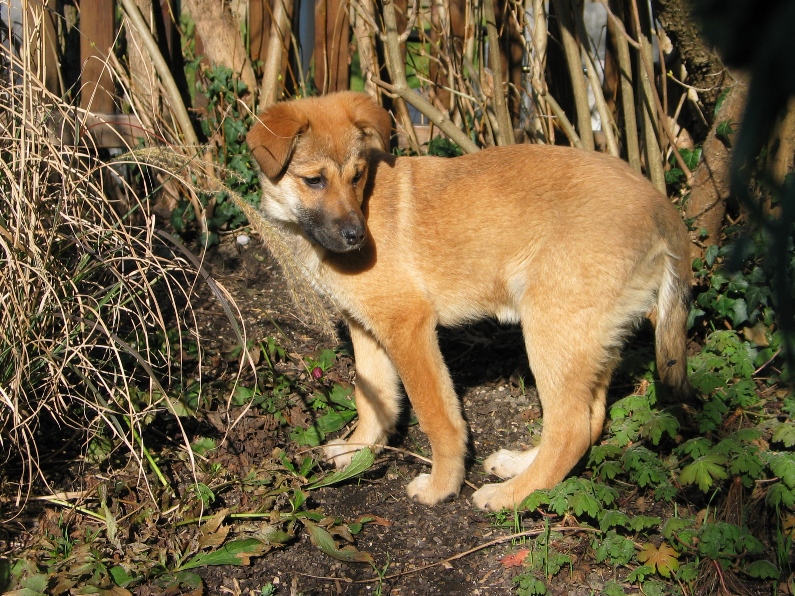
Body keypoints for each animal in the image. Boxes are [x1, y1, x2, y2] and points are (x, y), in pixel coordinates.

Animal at [247, 91, 692, 510]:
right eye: (314, 180)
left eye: (356, 177)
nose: (357, 238)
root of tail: (659, 203)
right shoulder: (367, 327)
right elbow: (372, 397)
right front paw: (359, 449)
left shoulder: (408, 326)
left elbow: (438, 417)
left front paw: (442, 486)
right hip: (588, 340)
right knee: (590, 418)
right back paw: (519, 465)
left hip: (552, 331)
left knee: (571, 429)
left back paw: (512, 495)